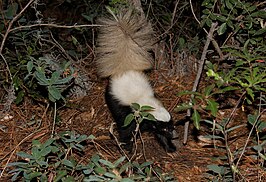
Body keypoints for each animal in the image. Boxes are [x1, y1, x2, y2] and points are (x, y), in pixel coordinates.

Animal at [95, 9, 177, 153]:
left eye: (170, 126)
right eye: (165, 128)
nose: (173, 135)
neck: (148, 103)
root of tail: (124, 70)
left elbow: (158, 135)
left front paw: (169, 147)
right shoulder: (131, 115)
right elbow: (126, 129)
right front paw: (126, 147)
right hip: (113, 98)